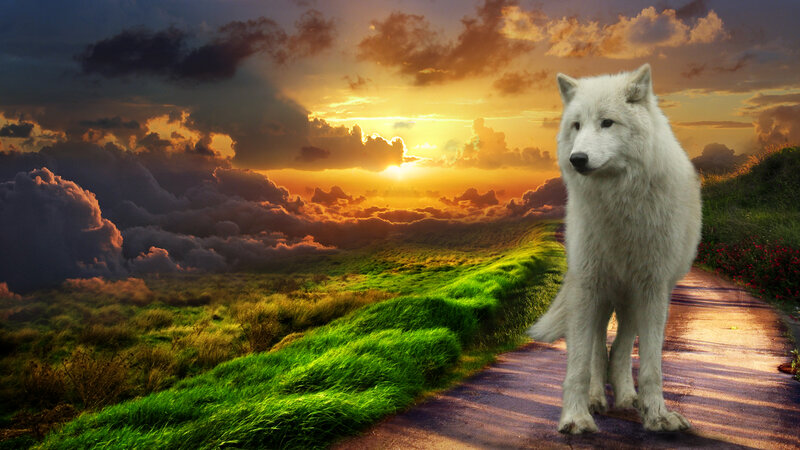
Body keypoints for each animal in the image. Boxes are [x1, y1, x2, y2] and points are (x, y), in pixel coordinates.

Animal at [528, 64, 702, 434]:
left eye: (607, 122)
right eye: (577, 125)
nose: (577, 159)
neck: (619, 206)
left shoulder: (652, 289)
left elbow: (651, 367)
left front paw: (657, 415)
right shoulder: (588, 284)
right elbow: (579, 364)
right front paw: (576, 417)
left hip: (631, 299)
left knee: (620, 348)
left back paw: (625, 397)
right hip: (600, 294)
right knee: (597, 348)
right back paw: (597, 398)